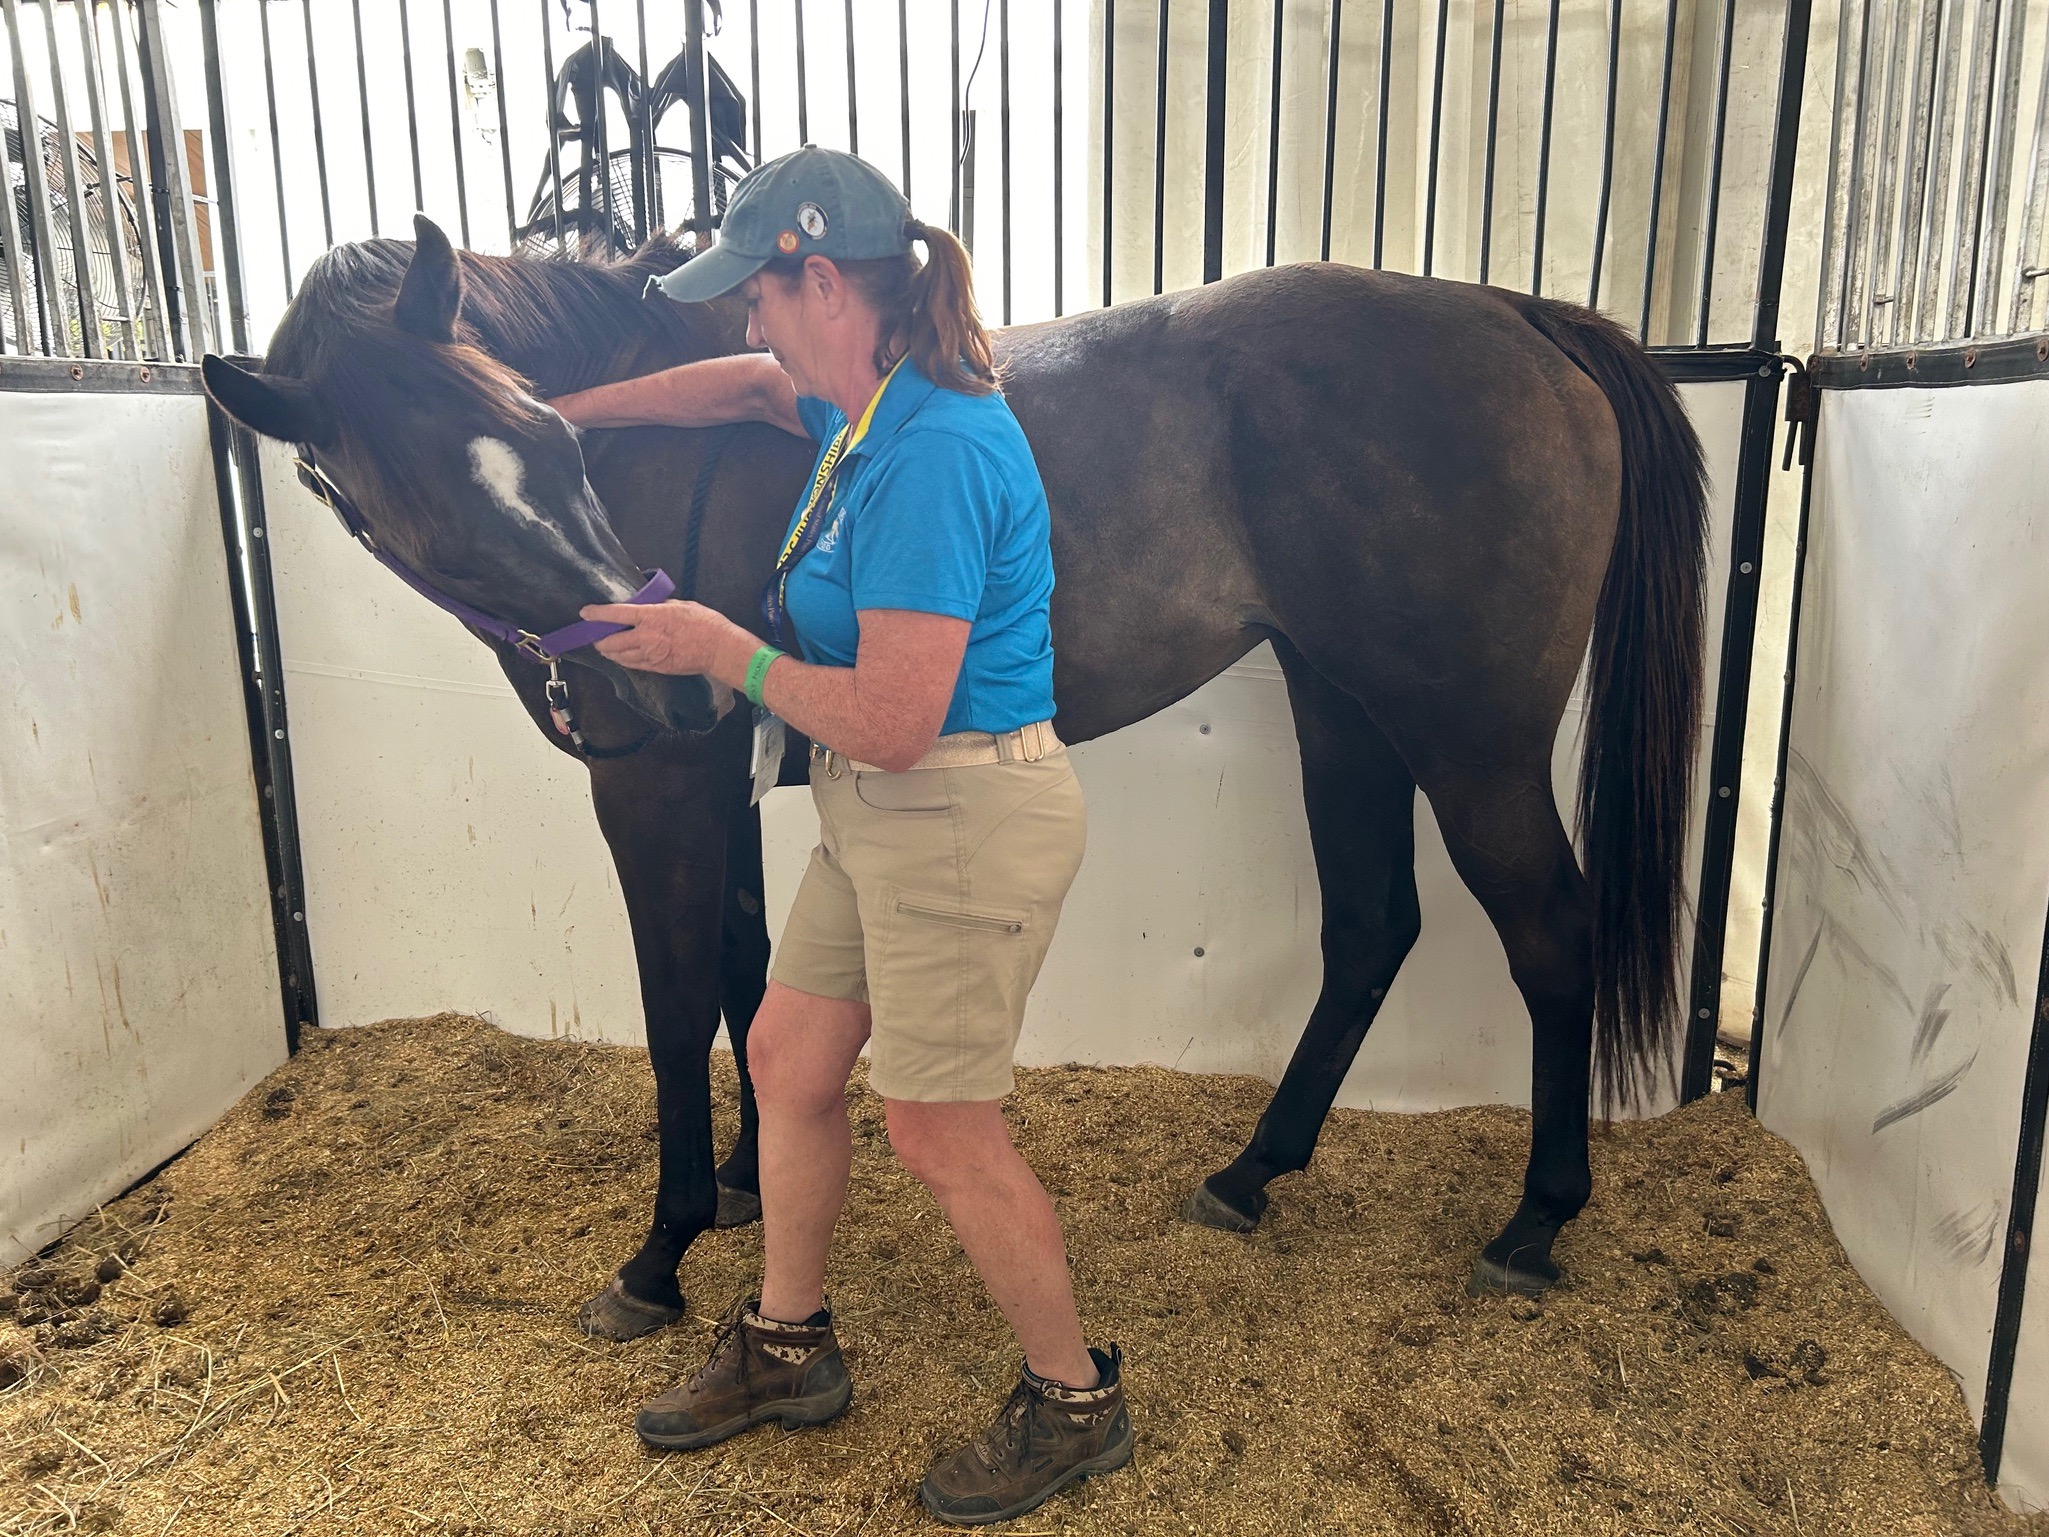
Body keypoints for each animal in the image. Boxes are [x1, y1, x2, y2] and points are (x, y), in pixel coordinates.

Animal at [199, 217, 1704, 1336]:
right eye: (437, 514)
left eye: (558, 445)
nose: (666, 683)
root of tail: (1517, 314)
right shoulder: (721, 792)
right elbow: (747, 981)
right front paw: (752, 1179)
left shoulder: (657, 791)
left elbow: (680, 1006)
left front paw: (660, 1250)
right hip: (1344, 711)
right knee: (1371, 927)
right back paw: (1251, 1171)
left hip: (1469, 741)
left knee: (1547, 935)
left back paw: (1533, 1220)